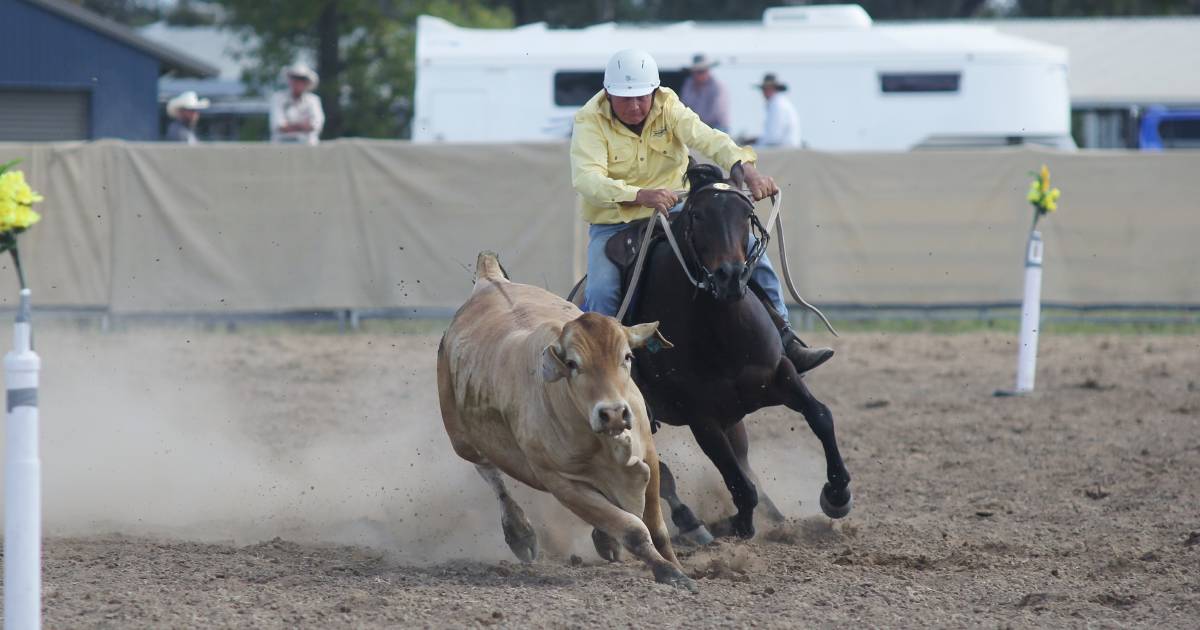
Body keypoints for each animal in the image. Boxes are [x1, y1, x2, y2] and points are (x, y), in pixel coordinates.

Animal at [628, 160, 854, 535]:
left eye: (747, 213)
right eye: (697, 215)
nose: (730, 276)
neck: (724, 332)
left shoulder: (780, 373)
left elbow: (820, 415)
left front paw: (837, 495)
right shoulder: (700, 416)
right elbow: (735, 478)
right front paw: (738, 523)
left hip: (734, 417)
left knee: (744, 461)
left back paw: (775, 515)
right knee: (661, 475)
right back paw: (693, 524)